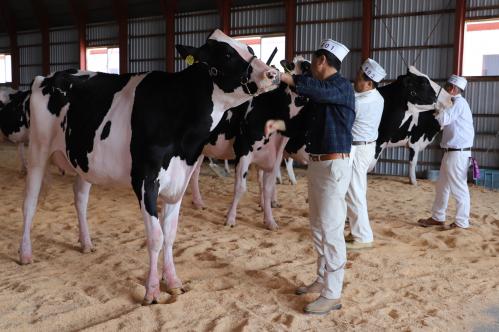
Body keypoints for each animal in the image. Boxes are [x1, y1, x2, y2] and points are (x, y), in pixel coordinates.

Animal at [19, 29, 280, 304]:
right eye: (227, 54)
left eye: (249, 50)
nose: (272, 74)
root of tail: (48, 76)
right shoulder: (145, 181)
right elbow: (156, 237)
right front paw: (152, 290)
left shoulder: (179, 181)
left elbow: (171, 233)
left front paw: (173, 281)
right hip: (38, 150)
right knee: (30, 203)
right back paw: (25, 254)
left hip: (85, 161)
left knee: (79, 198)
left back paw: (86, 243)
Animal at [189, 57, 310, 231]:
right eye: (306, 67)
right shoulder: (244, 150)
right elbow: (240, 187)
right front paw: (230, 218)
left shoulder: (273, 157)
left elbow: (268, 188)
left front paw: (270, 221)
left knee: (194, 173)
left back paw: (198, 202)